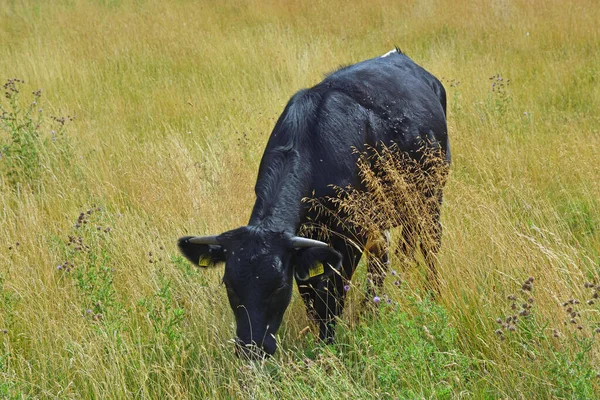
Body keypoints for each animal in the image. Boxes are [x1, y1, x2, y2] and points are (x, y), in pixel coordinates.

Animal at [178, 48, 450, 358]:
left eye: (278, 287)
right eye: (230, 285)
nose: (252, 347)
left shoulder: (348, 238)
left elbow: (331, 296)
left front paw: (328, 345)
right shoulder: (306, 239)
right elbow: (310, 294)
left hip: (431, 195)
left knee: (429, 243)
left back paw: (431, 295)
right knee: (392, 254)